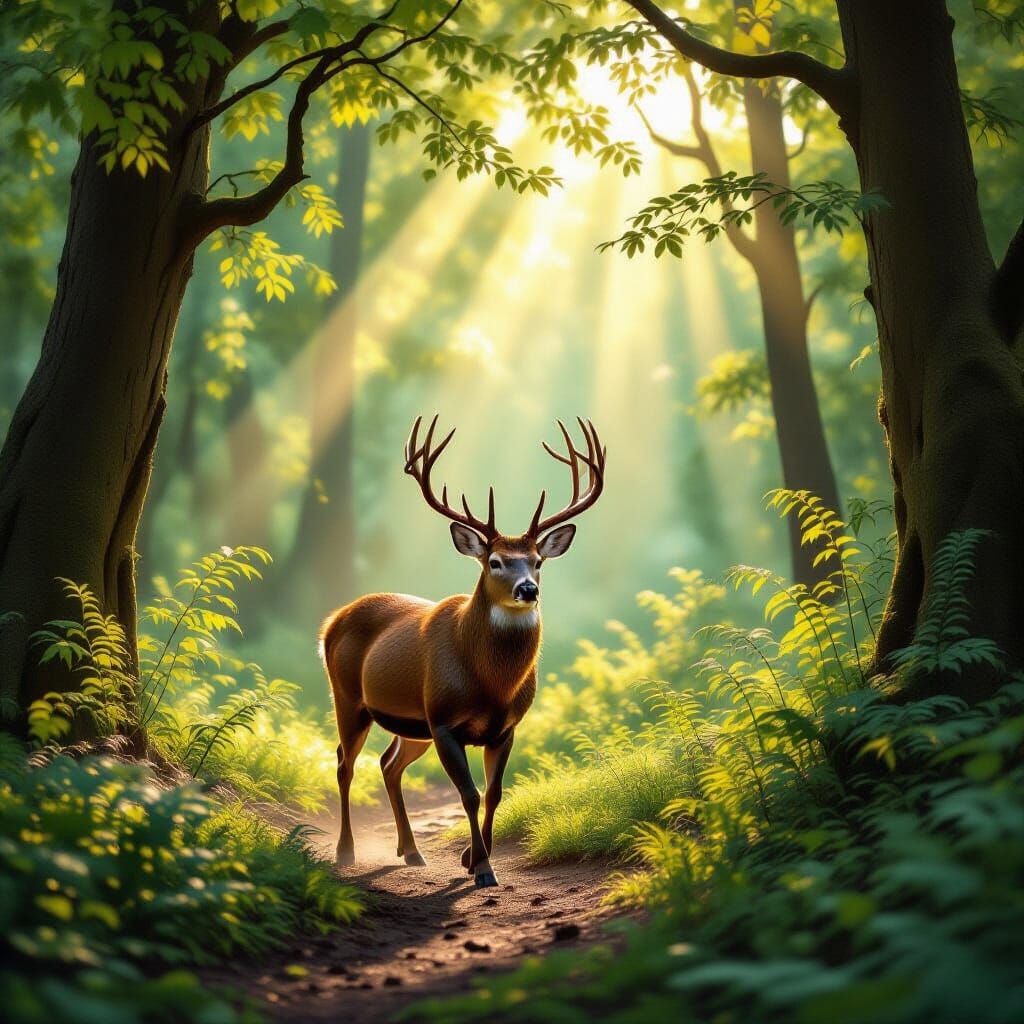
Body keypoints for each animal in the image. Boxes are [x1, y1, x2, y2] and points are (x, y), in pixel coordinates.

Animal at [319, 415, 606, 888]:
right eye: (495, 561)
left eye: (538, 561)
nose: (528, 589)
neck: (491, 684)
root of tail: (331, 620)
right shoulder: (444, 720)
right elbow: (469, 794)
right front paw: (483, 869)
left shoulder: (505, 728)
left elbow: (494, 793)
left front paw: (473, 858)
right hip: (349, 697)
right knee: (345, 762)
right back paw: (346, 851)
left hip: (412, 725)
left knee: (389, 764)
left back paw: (412, 852)